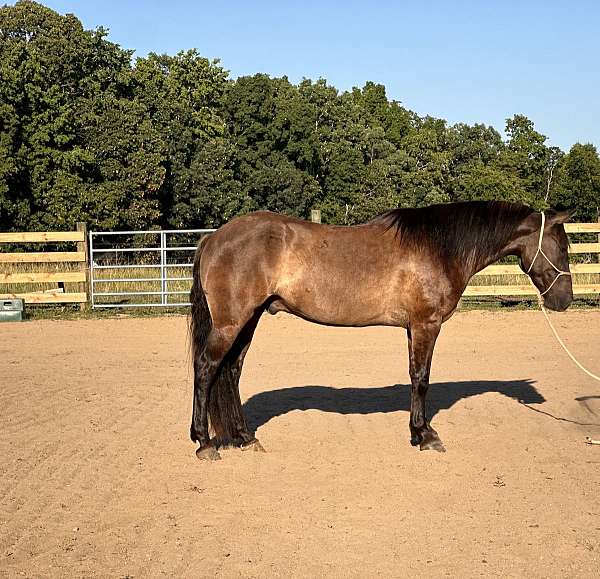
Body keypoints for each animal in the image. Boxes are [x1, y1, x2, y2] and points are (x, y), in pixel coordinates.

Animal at [190, 202, 576, 460]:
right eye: (562, 245)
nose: (565, 299)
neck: (438, 247)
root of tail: (213, 239)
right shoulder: (426, 325)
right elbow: (422, 377)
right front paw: (425, 435)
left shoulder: (413, 328)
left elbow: (414, 376)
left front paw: (417, 431)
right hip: (231, 322)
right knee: (207, 369)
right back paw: (204, 442)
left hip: (249, 319)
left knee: (232, 371)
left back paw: (244, 437)